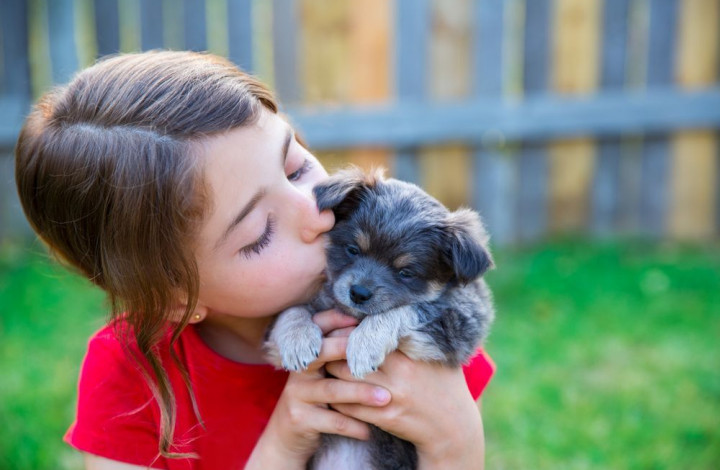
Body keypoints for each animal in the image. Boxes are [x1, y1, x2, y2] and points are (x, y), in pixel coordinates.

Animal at [264, 167, 496, 468]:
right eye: (352, 249)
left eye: (405, 273)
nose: (358, 293)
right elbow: (292, 310)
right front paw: (297, 341)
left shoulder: (462, 322)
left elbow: (405, 309)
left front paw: (365, 345)